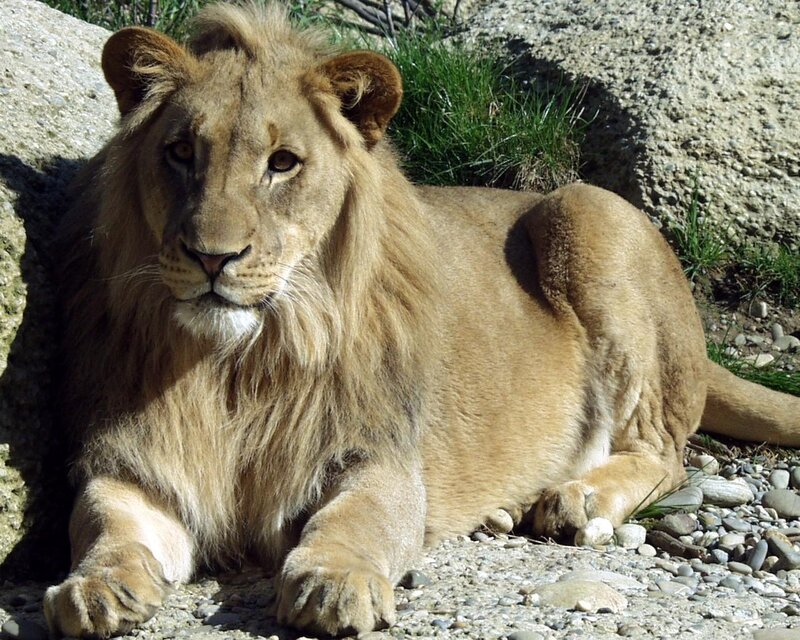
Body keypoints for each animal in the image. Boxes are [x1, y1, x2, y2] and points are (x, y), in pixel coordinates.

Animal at [44, 3, 800, 637]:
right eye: (180, 152)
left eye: (282, 163)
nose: (211, 257)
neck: (241, 362)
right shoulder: (137, 463)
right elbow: (103, 521)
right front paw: (93, 589)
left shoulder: (377, 455)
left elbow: (358, 520)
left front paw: (335, 582)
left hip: (587, 212)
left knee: (664, 453)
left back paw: (578, 500)